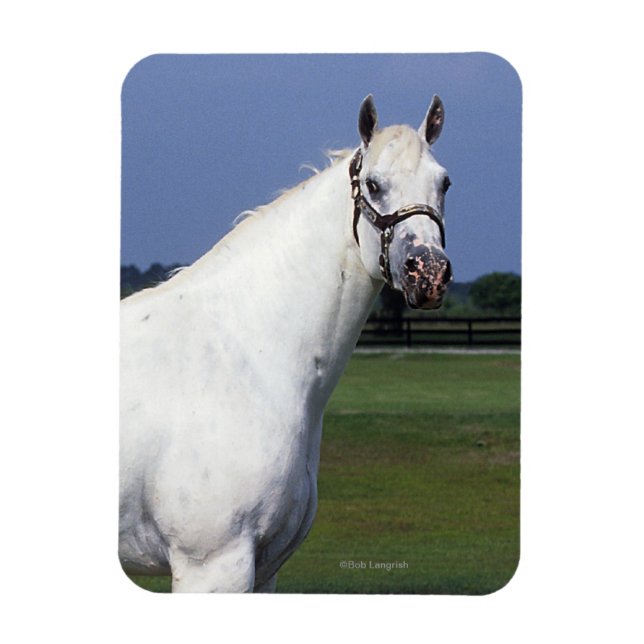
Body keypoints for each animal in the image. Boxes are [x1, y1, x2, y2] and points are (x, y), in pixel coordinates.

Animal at [119, 95, 453, 592]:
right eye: (374, 184)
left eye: (444, 182)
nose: (428, 272)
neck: (246, 355)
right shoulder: (214, 566)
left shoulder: (265, 571)